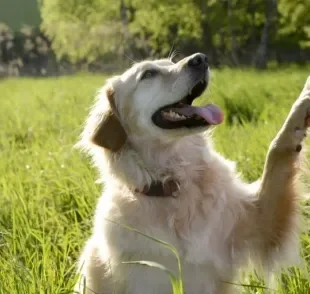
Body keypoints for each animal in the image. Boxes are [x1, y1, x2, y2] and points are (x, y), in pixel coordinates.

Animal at [75, 53, 310, 294]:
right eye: (148, 74)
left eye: (170, 63)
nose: (200, 58)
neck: (176, 185)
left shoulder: (261, 222)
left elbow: (277, 151)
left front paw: (304, 98)